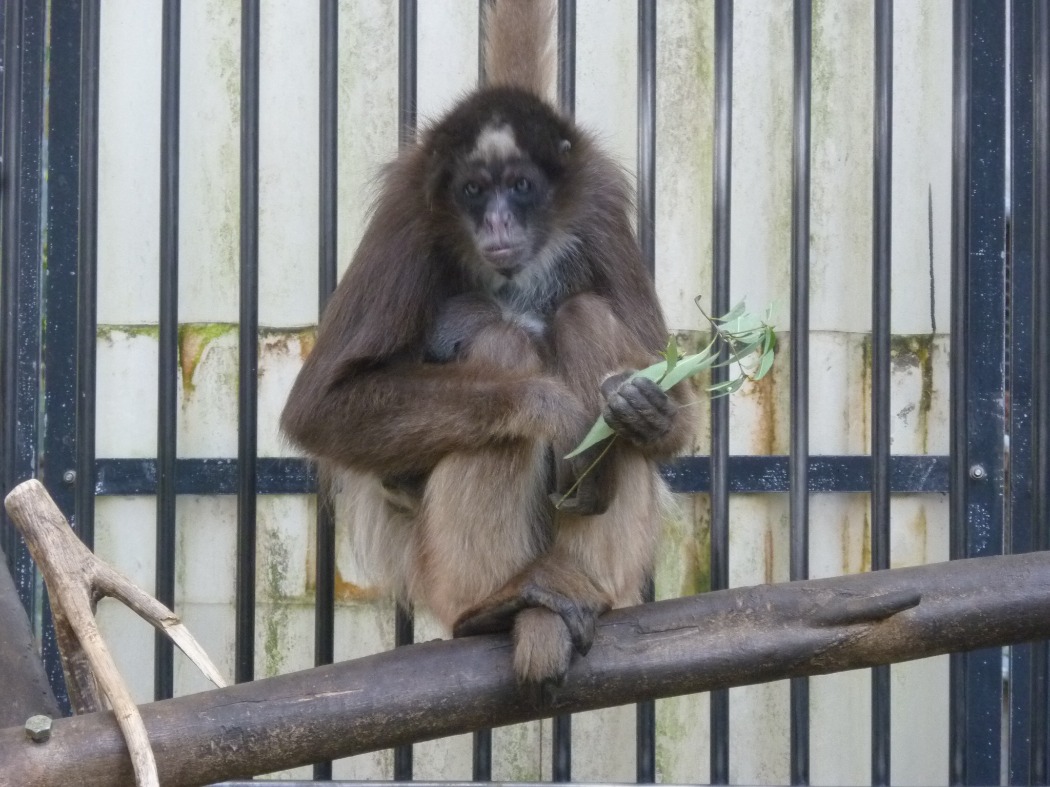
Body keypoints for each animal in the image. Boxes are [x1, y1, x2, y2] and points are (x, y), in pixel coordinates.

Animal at [279, 0, 692, 692]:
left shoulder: (599, 200)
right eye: (474, 191)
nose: (496, 221)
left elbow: (678, 411)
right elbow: (317, 409)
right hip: (427, 559)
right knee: (504, 354)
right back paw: (495, 603)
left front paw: (646, 410)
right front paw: (556, 411)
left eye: (520, 187)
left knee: (583, 315)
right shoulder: (409, 211)